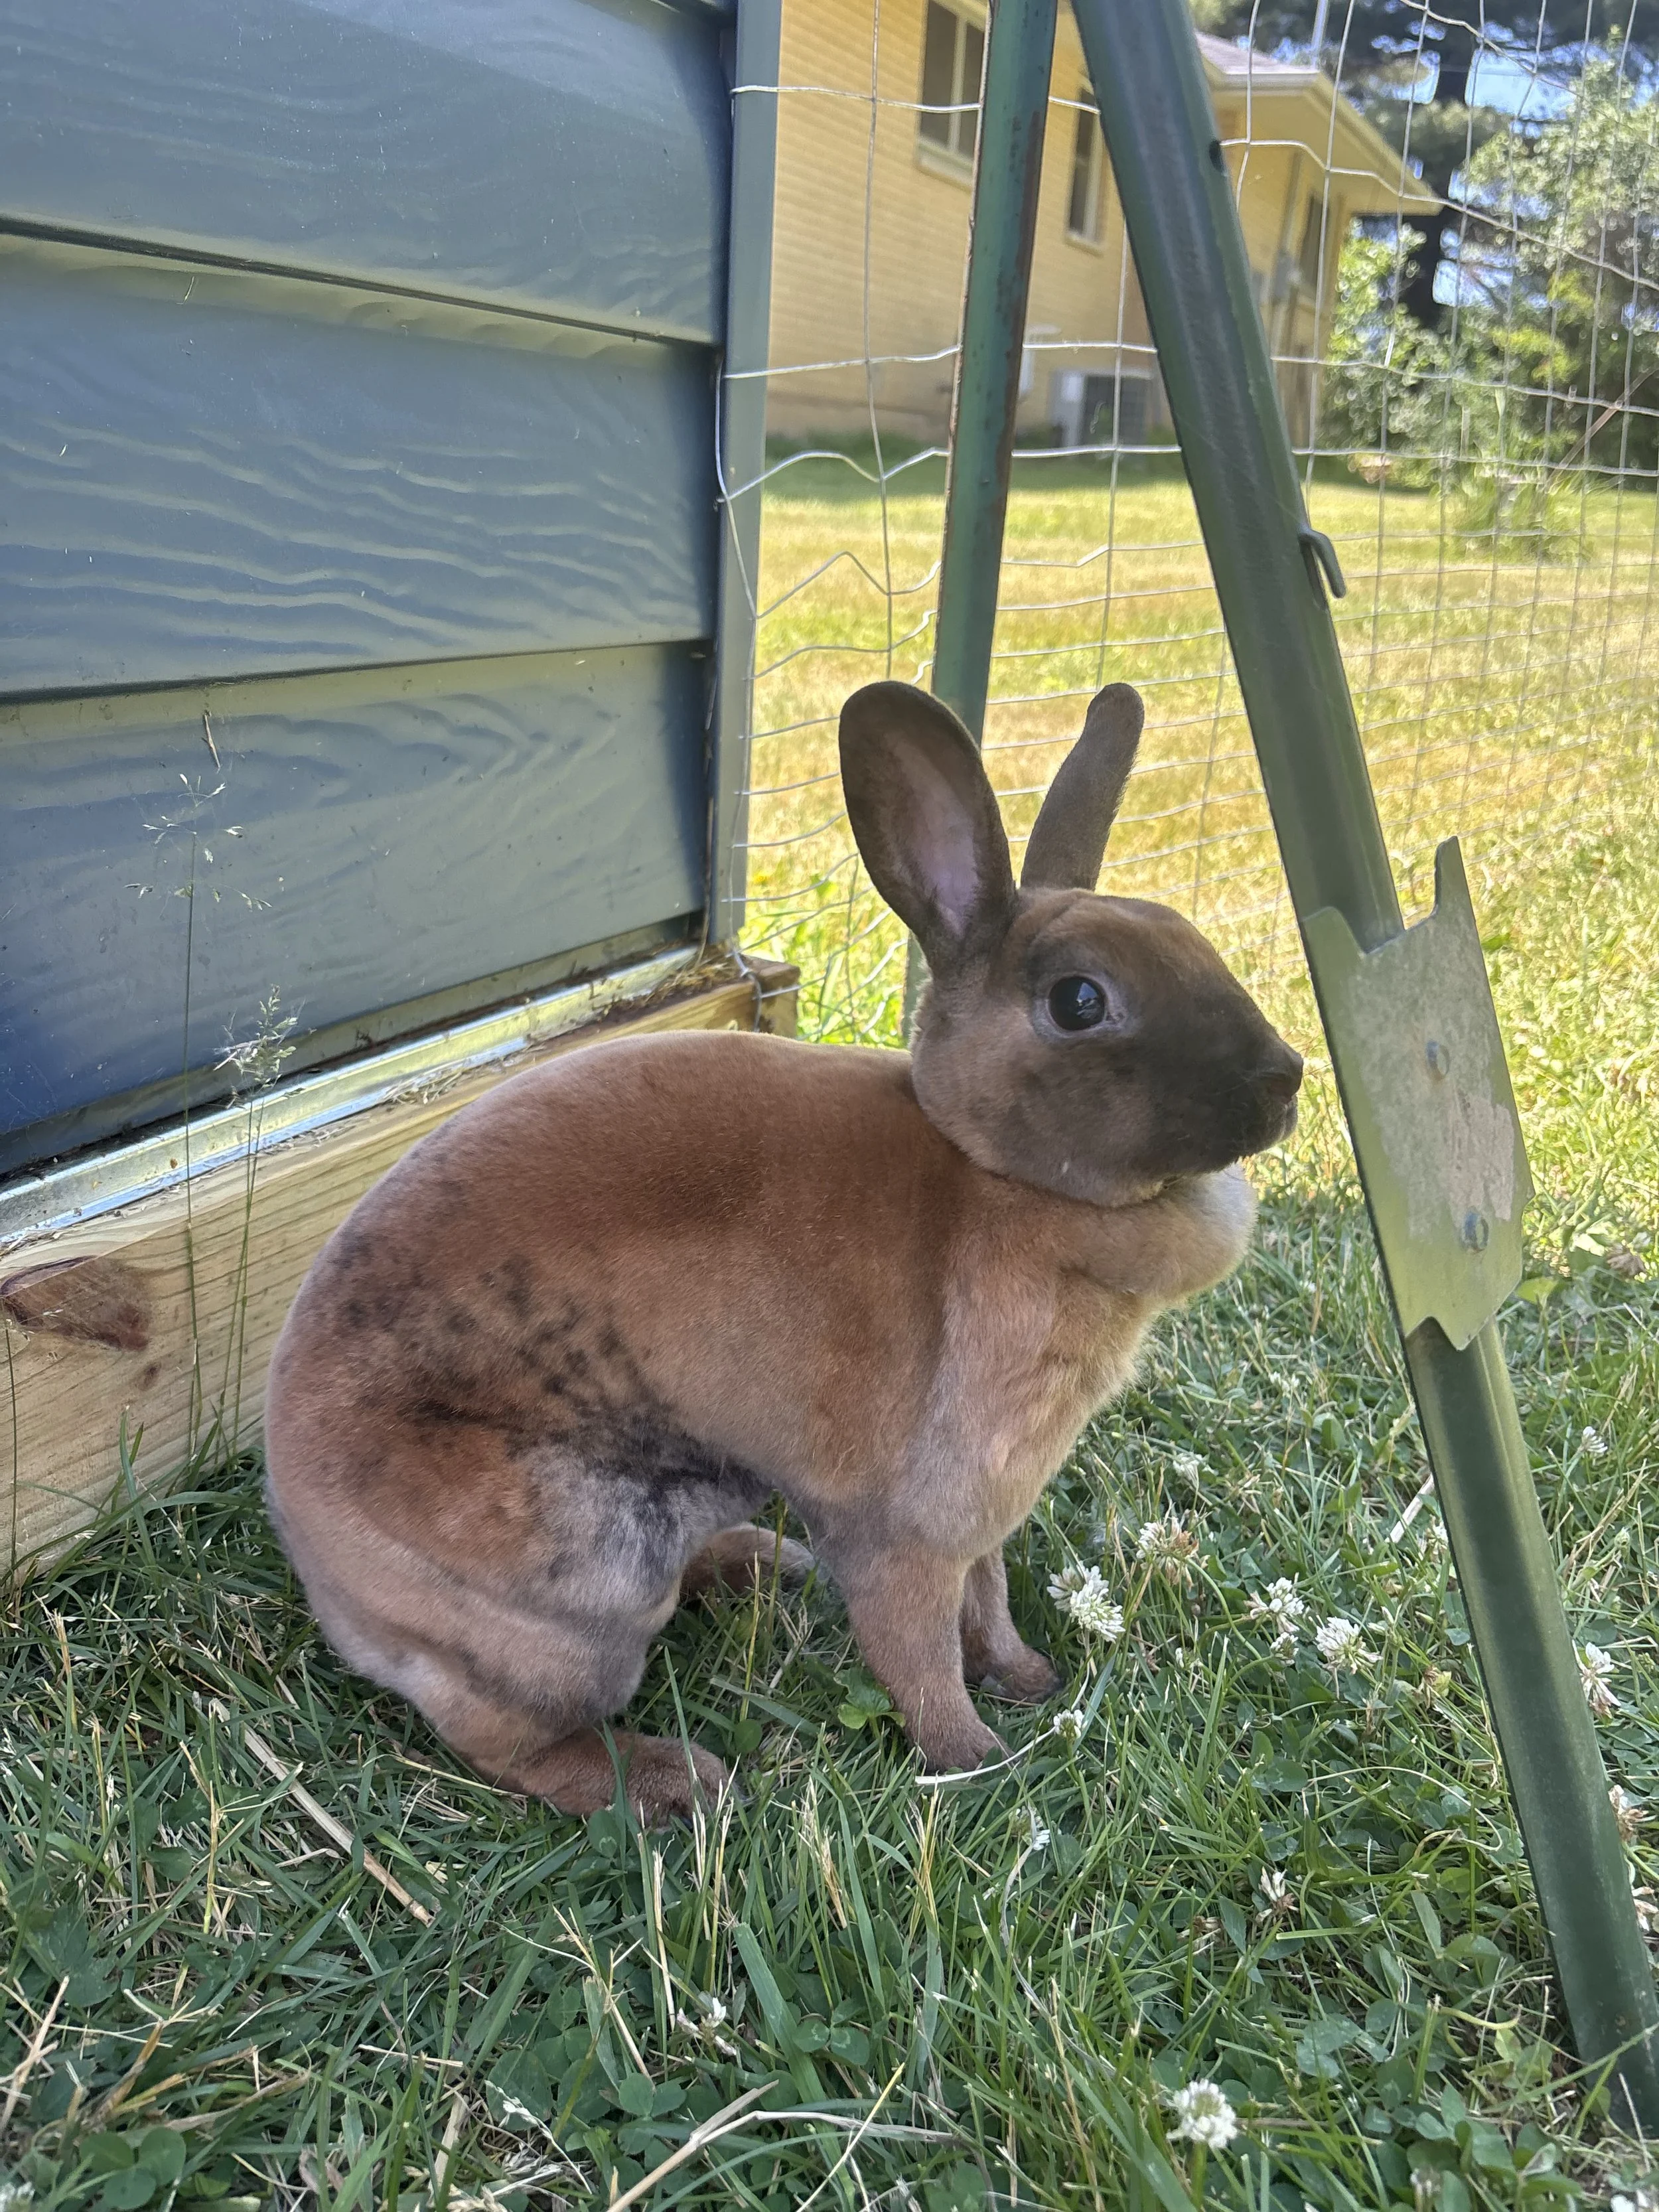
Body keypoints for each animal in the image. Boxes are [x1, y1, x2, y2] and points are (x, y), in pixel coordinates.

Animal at [263, 680, 1302, 1821]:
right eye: (1080, 1001)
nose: (1286, 1076)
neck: (994, 1177)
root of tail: (321, 1561)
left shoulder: (979, 1525)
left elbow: (987, 1605)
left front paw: (1029, 1678)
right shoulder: (907, 1531)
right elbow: (919, 1652)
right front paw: (976, 1757)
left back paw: (769, 1567)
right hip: (574, 1599)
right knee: (513, 1744)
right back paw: (678, 1780)